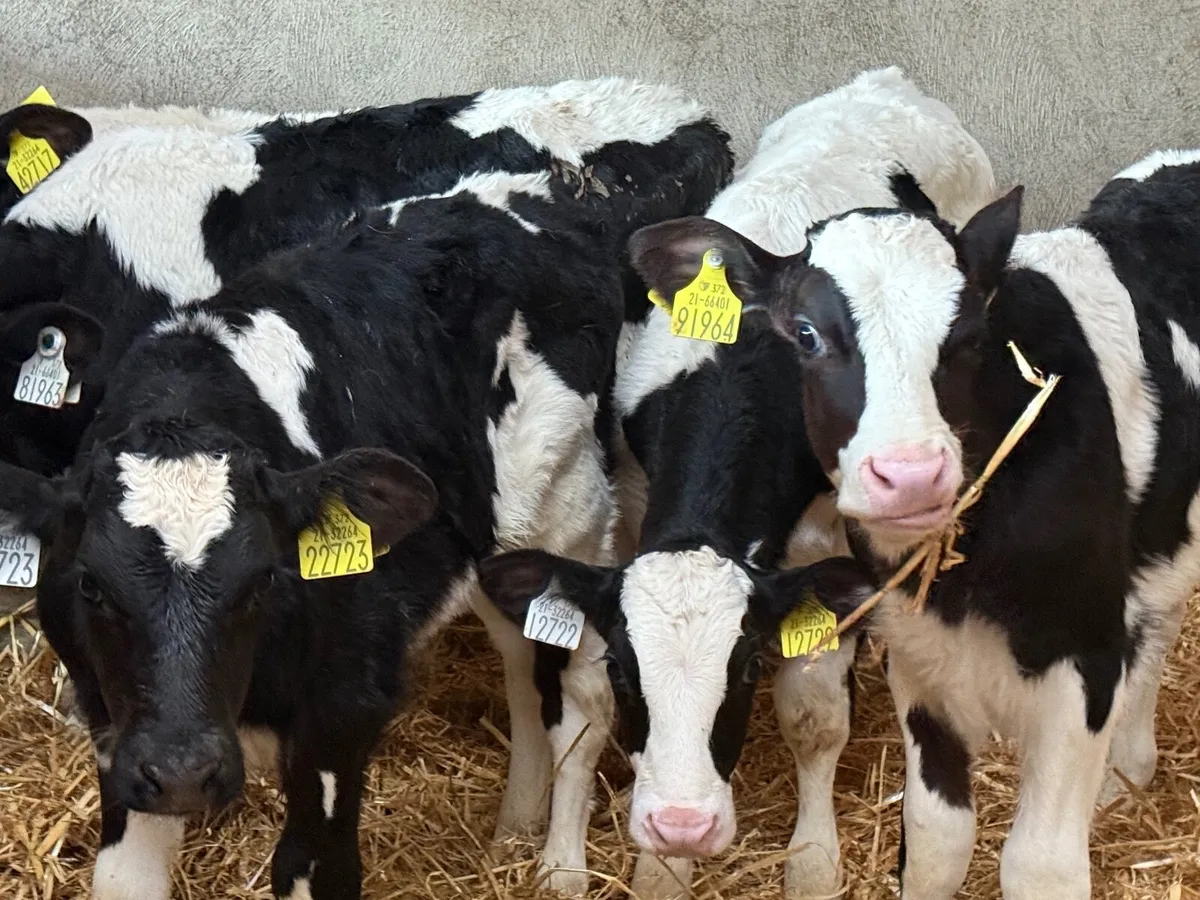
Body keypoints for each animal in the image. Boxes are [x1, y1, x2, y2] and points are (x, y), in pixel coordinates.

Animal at [479, 67, 997, 898]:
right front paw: (589, 862)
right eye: (627, 666)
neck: (741, 367)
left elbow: (814, 715)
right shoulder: (626, 507)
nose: (682, 822)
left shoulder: (817, 537)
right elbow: (582, 704)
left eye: (749, 664)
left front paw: (812, 861)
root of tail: (886, 82)